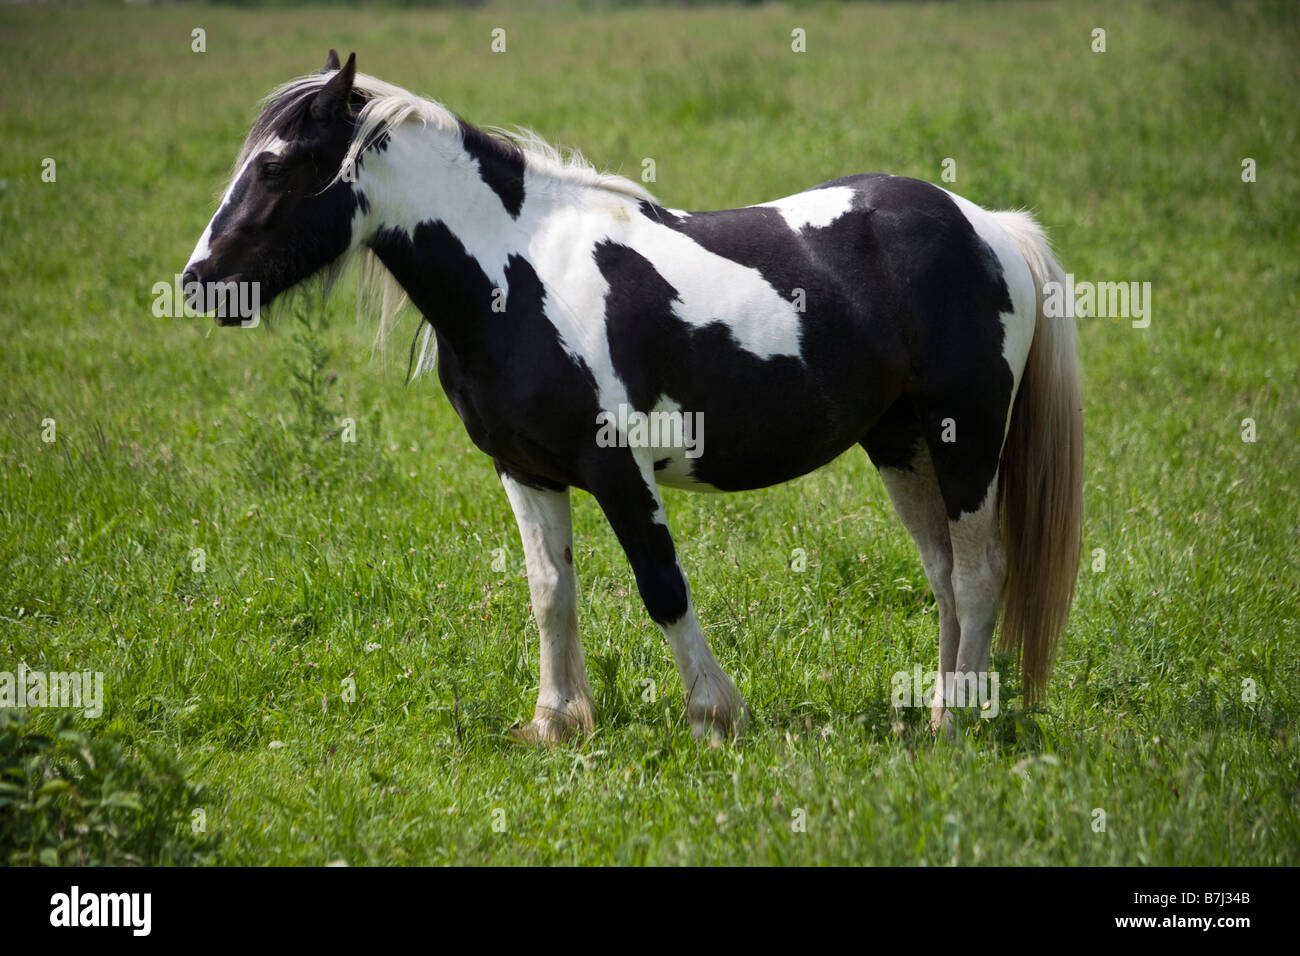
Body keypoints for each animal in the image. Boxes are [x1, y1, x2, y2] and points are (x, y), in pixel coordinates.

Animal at [180, 48, 1076, 743]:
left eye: (276, 166)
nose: (199, 283)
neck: (513, 275)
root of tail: (988, 225)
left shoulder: (618, 468)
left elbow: (661, 585)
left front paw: (715, 717)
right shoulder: (524, 470)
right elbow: (549, 592)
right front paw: (555, 723)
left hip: (965, 437)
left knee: (979, 573)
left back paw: (958, 726)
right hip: (900, 440)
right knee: (944, 574)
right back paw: (937, 710)